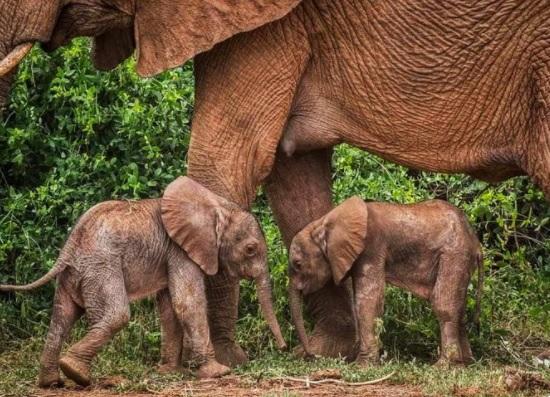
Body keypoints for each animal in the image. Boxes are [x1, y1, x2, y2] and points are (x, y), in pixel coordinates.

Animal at [0, 177, 284, 386]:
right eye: (250, 249)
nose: (283, 347)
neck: (215, 206)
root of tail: (69, 246)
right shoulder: (180, 251)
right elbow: (187, 303)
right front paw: (218, 372)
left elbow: (169, 308)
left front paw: (171, 373)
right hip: (101, 267)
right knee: (116, 315)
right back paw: (76, 373)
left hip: (75, 273)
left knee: (61, 317)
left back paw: (52, 382)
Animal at [288, 196, 484, 366]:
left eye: (297, 264)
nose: (310, 355)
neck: (323, 223)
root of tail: (476, 242)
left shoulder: (371, 248)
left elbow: (367, 301)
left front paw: (362, 366)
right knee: (459, 307)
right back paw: (464, 364)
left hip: (455, 253)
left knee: (443, 304)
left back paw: (443, 366)